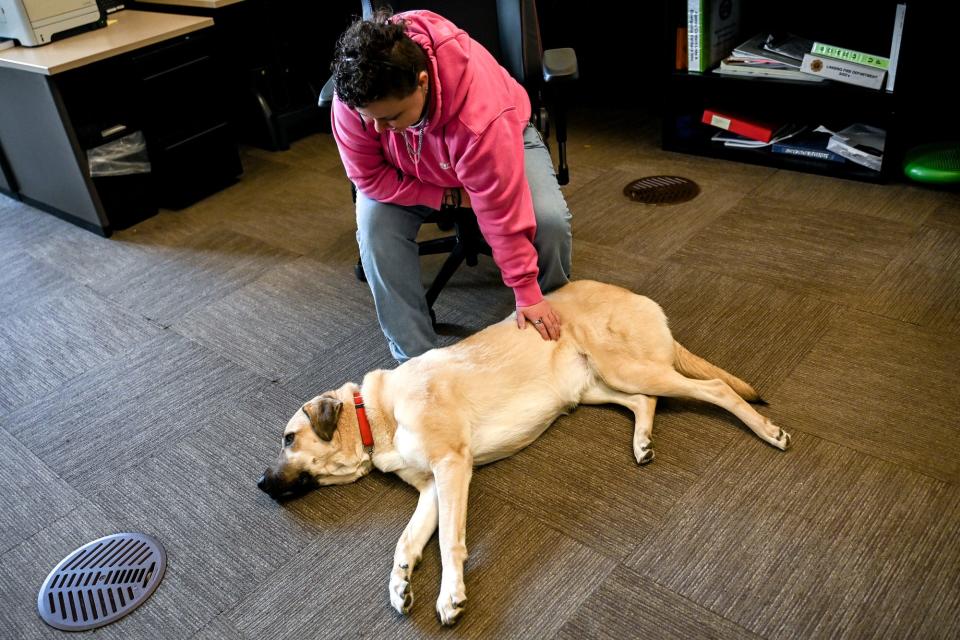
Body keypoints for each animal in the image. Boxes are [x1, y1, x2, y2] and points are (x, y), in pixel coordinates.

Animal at [255, 280, 788, 624]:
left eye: (288, 438)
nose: (259, 484)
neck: (377, 414)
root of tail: (635, 294)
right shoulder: (430, 489)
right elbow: (406, 541)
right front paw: (401, 581)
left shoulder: (452, 468)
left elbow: (449, 542)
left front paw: (450, 596)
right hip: (595, 387)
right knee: (644, 401)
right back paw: (642, 442)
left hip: (626, 368)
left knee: (715, 388)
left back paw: (768, 431)